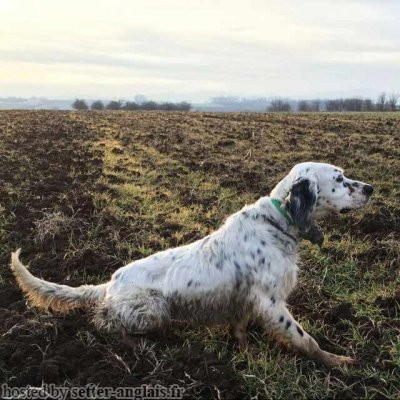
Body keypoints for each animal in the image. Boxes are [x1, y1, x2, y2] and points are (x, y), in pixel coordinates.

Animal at [10, 162, 372, 366]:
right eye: (340, 178)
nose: (370, 187)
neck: (277, 223)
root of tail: (109, 284)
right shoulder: (272, 303)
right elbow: (306, 339)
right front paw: (337, 361)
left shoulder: (248, 298)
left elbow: (240, 328)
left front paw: (243, 351)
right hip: (153, 309)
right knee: (107, 324)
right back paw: (138, 345)